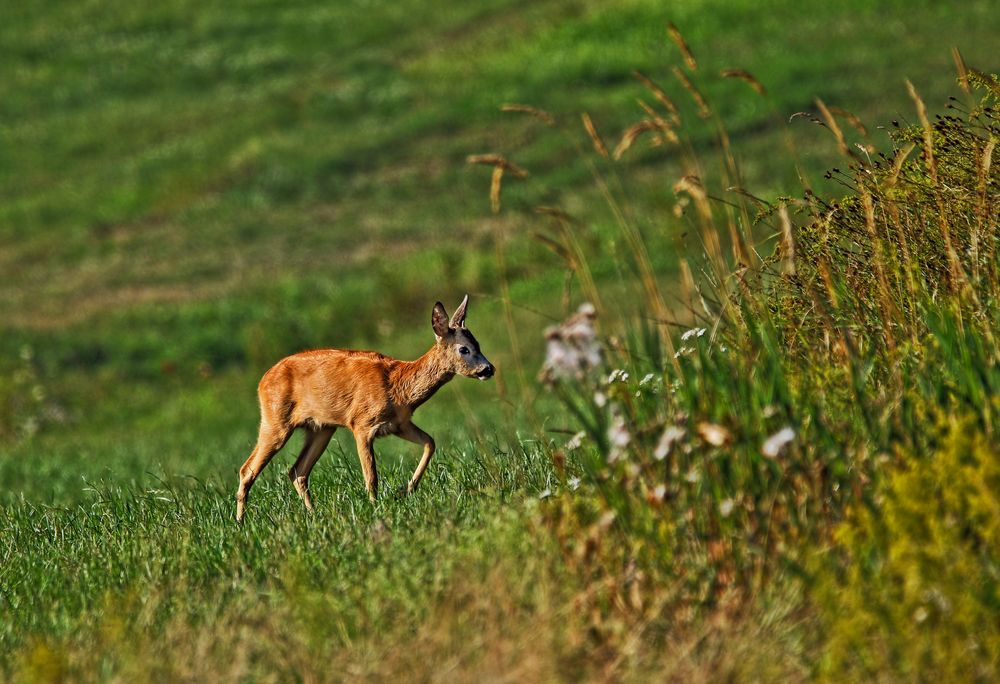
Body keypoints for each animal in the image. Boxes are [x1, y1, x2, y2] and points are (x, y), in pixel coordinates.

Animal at [235, 294, 492, 524]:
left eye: (478, 344)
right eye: (464, 349)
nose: (488, 369)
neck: (399, 387)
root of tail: (262, 381)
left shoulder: (400, 424)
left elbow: (430, 442)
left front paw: (405, 490)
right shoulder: (362, 424)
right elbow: (371, 476)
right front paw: (375, 508)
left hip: (321, 428)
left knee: (298, 471)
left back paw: (313, 514)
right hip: (276, 420)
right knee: (247, 469)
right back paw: (240, 522)